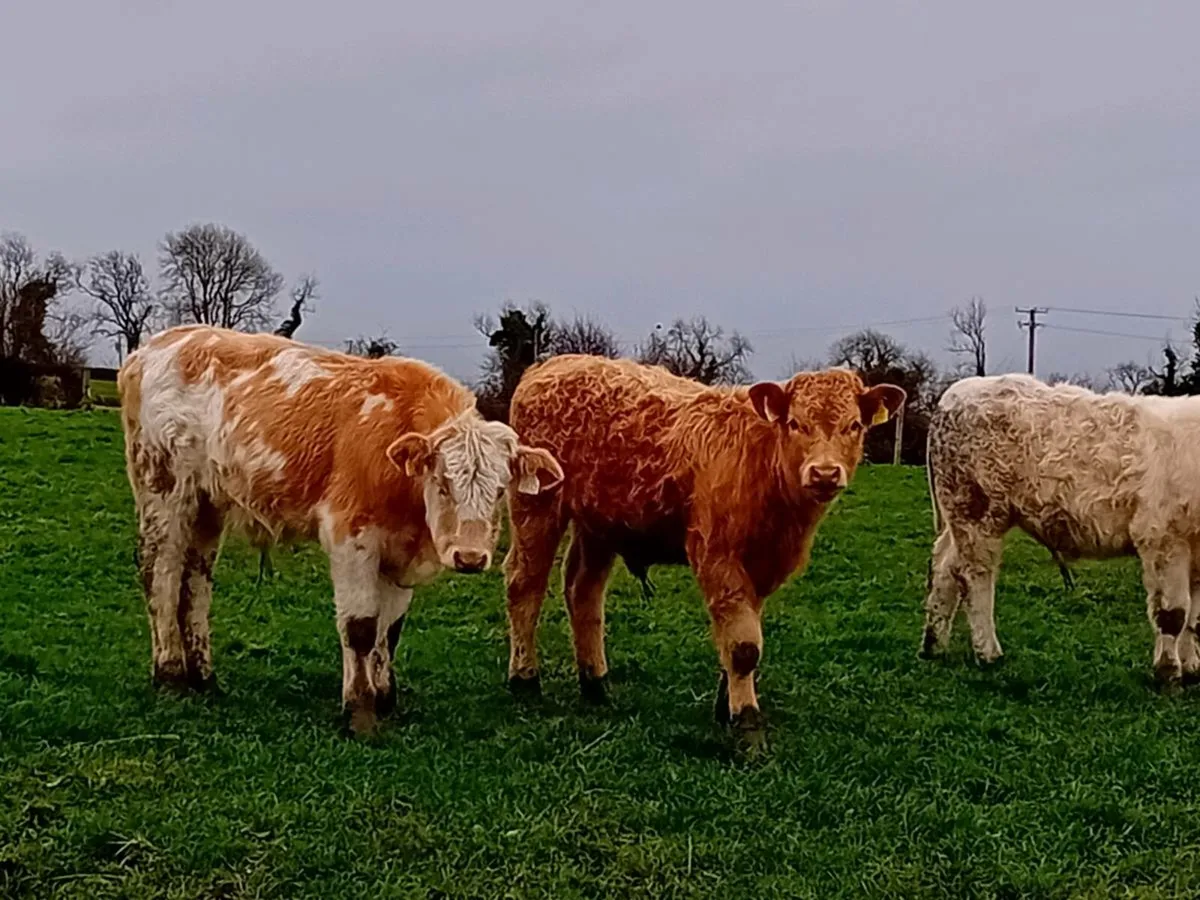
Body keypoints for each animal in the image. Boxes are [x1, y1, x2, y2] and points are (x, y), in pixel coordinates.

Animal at [117, 325, 563, 734]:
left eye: (500, 490)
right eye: (442, 482)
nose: (469, 557)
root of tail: (157, 344)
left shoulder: (398, 551)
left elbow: (389, 630)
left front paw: (385, 697)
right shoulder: (352, 538)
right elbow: (361, 627)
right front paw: (360, 711)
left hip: (208, 506)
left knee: (195, 585)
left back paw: (204, 677)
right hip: (164, 490)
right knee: (161, 575)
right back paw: (171, 675)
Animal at [503, 354, 906, 745]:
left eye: (854, 425)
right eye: (795, 423)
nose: (824, 473)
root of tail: (550, 365)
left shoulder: (761, 567)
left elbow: (742, 636)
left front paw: (726, 707)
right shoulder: (717, 555)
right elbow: (744, 647)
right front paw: (747, 727)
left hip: (599, 524)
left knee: (583, 592)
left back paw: (596, 685)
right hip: (536, 506)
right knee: (524, 586)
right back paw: (525, 680)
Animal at [922, 373, 1200, 684]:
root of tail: (956, 392)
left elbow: (1194, 619)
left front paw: (1191, 668)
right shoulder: (1162, 537)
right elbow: (1173, 614)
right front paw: (1168, 673)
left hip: (957, 517)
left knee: (945, 566)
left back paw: (933, 645)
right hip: (976, 512)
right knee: (975, 577)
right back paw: (988, 653)